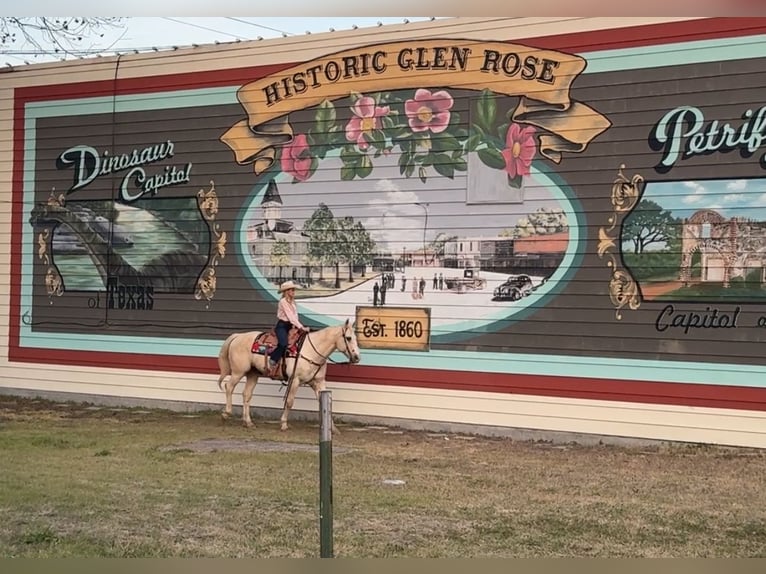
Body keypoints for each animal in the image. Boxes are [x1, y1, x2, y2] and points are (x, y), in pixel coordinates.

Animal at [214, 320, 362, 432]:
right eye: (348, 338)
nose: (357, 357)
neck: (311, 350)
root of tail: (237, 336)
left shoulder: (318, 382)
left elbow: (326, 403)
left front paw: (333, 428)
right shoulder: (295, 380)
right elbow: (290, 402)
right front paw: (284, 424)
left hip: (252, 374)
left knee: (246, 395)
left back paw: (248, 422)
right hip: (238, 372)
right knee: (229, 387)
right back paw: (226, 414)